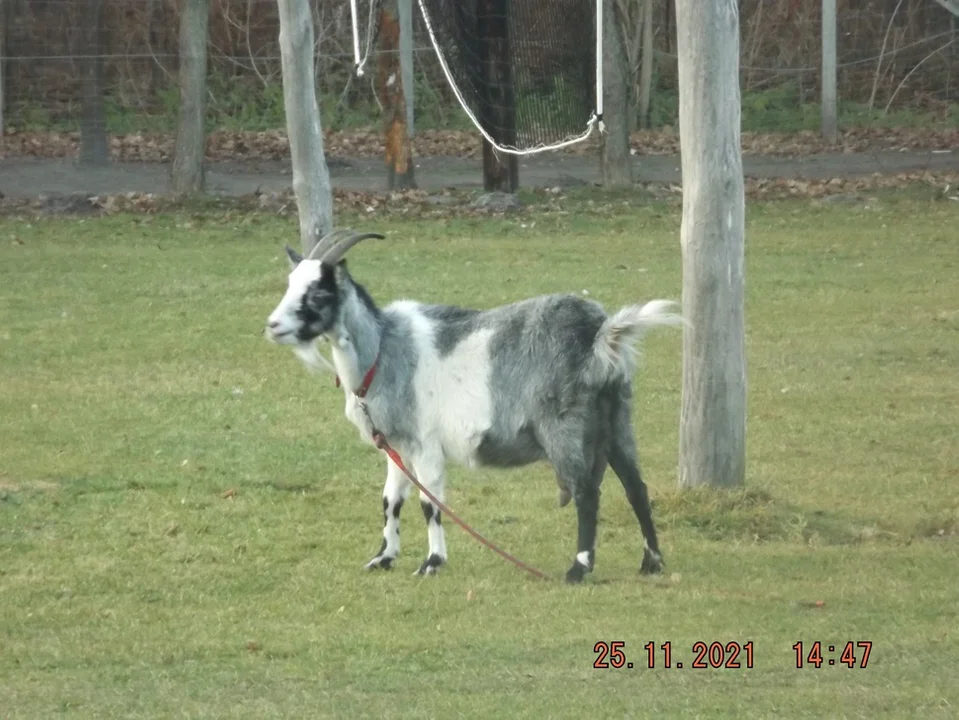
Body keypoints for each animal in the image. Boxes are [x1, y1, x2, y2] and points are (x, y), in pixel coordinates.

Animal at [262, 231, 688, 584]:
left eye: (318, 294)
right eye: (289, 285)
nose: (272, 326)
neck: (383, 351)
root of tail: (601, 335)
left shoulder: (425, 446)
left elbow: (429, 503)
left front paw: (431, 563)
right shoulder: (397, 447)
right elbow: (390, 501)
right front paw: (383, 558)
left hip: (566, 427)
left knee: (587, 492)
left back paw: (578, 568)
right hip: (616, 419)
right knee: (635, 486)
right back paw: (652, 562)